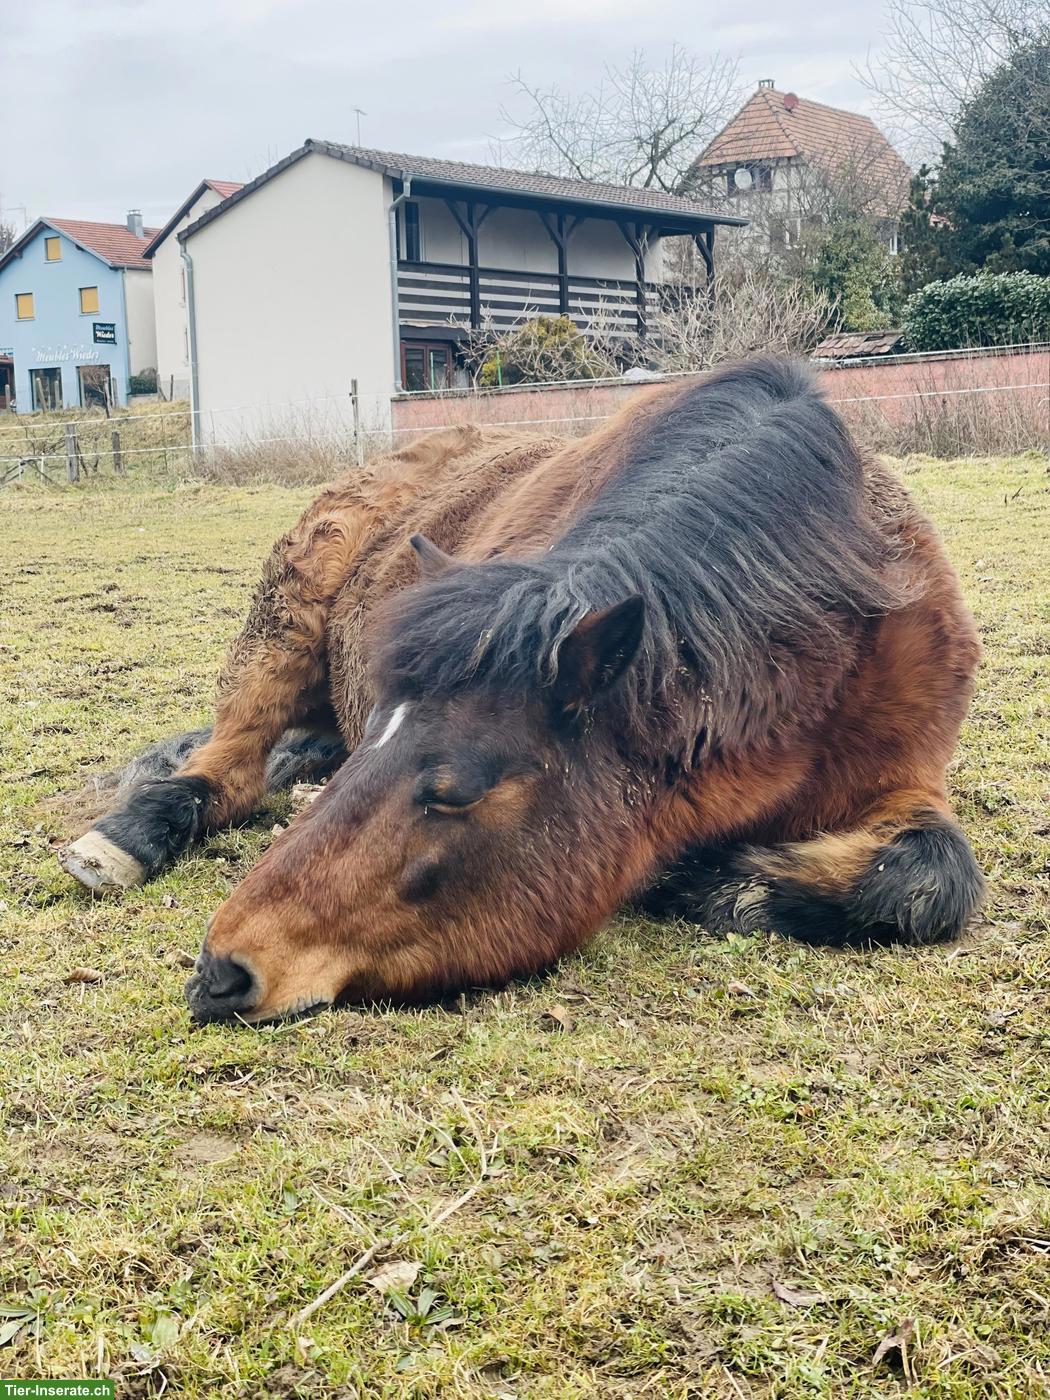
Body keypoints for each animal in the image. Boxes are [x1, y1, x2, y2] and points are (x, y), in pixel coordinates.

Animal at [59, 357, 984, 1023]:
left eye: (454, 792)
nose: (221, 970)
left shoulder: (908, 779)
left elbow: (922, 883)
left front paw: (717, 878)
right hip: (280, 626)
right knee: (230, 764)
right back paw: (130, 836)